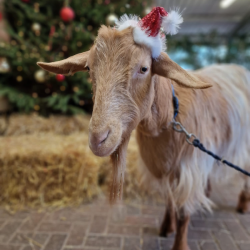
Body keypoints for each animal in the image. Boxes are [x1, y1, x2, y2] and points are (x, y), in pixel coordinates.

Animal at [36, 24, 250, 250]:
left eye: (144, 69)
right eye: (88, 68)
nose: (97, 139)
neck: (170, 117)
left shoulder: (189, 169)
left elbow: (183, 213)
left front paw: (179, 244)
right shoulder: (162, 167)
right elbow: (169, 200)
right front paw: (166, 227)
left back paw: (243, 204)